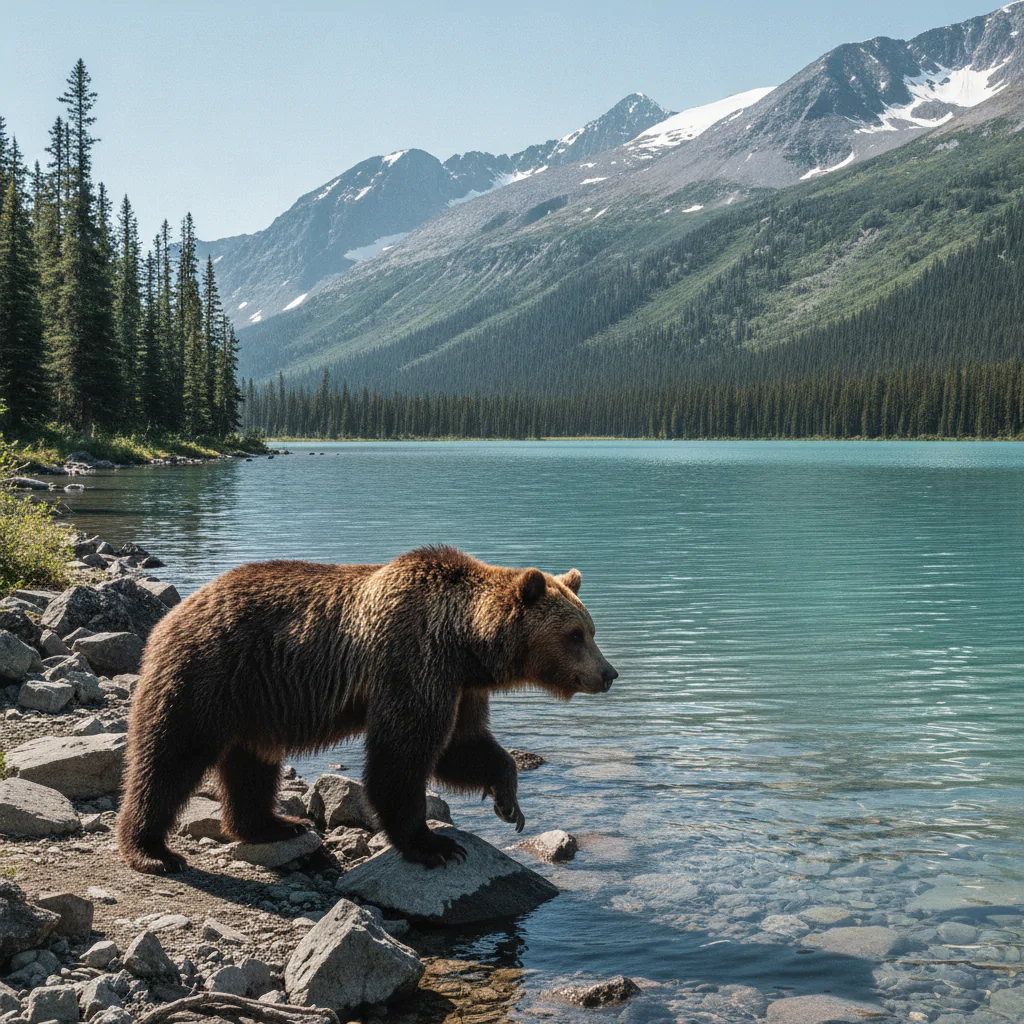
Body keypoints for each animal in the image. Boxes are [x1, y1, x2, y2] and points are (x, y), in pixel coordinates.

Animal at [116, 545, 618, 874]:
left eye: (591, 629)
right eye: (575, 634)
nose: (609, 673)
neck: (466, 644)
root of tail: (172, 613)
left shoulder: (460, 686)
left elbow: (462, 745)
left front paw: (509, 802)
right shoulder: (413, 660)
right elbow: (403, 756)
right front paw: (432, 844)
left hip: (253, 703)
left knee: (250, 765)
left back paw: (276, 824)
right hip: (208, 672)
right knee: (169, 758)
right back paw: (152, 851)